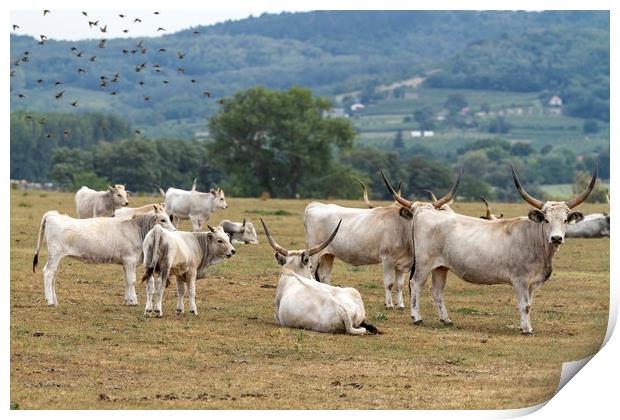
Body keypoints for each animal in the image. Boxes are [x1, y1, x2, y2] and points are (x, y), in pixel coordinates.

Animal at [33, 206, 176, 306]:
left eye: (169, 218)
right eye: (163, 219)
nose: (175, 231)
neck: (136, 229)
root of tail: (53, 215)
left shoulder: (125, 263)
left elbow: (126, 281)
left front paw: (128, 300)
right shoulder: (129, 260)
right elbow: (132, 280)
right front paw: (134, 301)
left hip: (58, 257)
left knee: (53, 276)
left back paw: (55, 301)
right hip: (55, 254)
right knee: (48, 273)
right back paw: (50, 301)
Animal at [390, 166, 600, 334]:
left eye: (565, 220)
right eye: (546, 220)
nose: (556, 238)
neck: (535, 242)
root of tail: (424, 212)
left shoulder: (532, 283)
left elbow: (530, 305)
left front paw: (528, 326)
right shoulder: (520, 280)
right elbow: (524, 305)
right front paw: (526, 330)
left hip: (441, 267)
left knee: (437, 290)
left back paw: (446, 319)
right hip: (424, 263)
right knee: (416, 284)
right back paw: (417, 318)